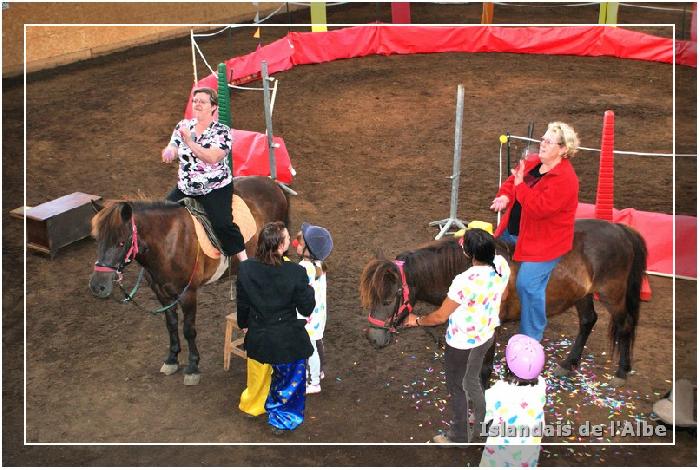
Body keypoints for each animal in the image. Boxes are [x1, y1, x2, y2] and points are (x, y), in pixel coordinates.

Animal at [89, 176, 288, 386]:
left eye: (120, 242)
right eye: (97, 240)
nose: (97, 286)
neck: (168, 242)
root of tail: (273, 184)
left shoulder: (188, 294)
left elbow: (188, 329)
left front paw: (192, 367)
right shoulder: (162, 294)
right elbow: (171, 324)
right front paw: (172, 359)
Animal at [364, 218, 648, 388]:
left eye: (388, 299)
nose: (373, 338)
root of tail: (621, 229)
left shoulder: (490, 329)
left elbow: (484, 368)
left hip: (613, 295)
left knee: (624, 326)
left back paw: (622, 371)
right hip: (582, 294)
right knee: (588, 321)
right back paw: (569, 363)